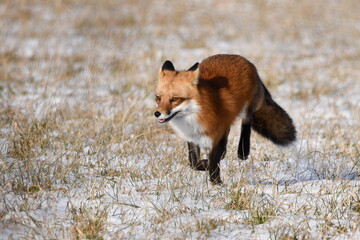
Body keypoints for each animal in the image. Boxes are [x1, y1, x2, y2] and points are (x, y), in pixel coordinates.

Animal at [154, 54, 296, 185]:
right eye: (158, 98)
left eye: (174, 99)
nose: (157, 113)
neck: (194, 114)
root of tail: (243, 59)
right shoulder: (192, 136)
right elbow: (194, 163)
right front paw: (205, 166)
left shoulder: (217, 133)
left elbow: (214, 162)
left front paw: (217, 184)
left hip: (246, 108)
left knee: (247, 120)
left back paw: (243, 150)